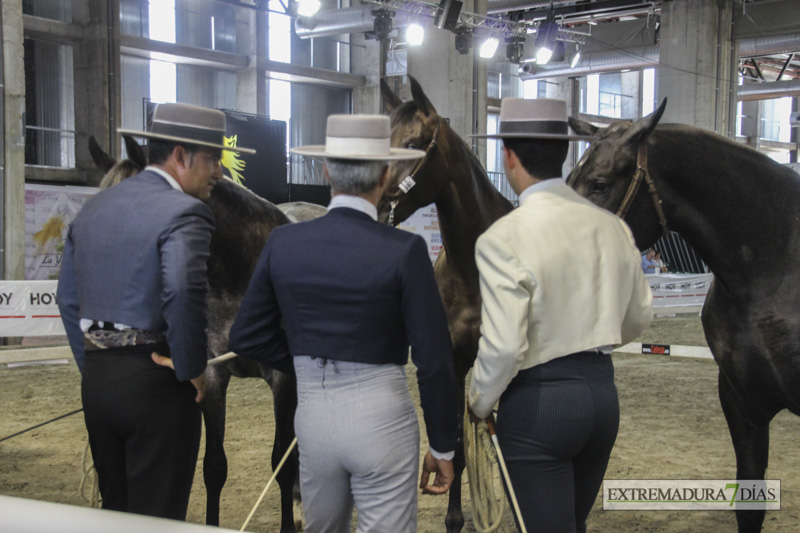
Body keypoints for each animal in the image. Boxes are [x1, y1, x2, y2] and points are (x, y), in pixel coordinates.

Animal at [376, 76, 512, 532]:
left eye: (413, 143)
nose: (377, 200)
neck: (472, 271)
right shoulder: (453, 361)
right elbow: (455, 443)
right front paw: (454, 517)